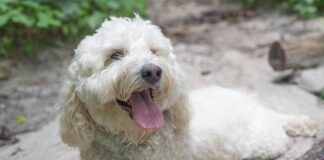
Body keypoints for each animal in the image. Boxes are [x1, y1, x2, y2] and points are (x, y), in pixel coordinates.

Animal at [60, 15, 318, 160]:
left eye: (154, 51)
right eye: (115, 55)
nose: (152, 71)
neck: (138, 140)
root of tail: (257, 106)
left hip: (261, 143)